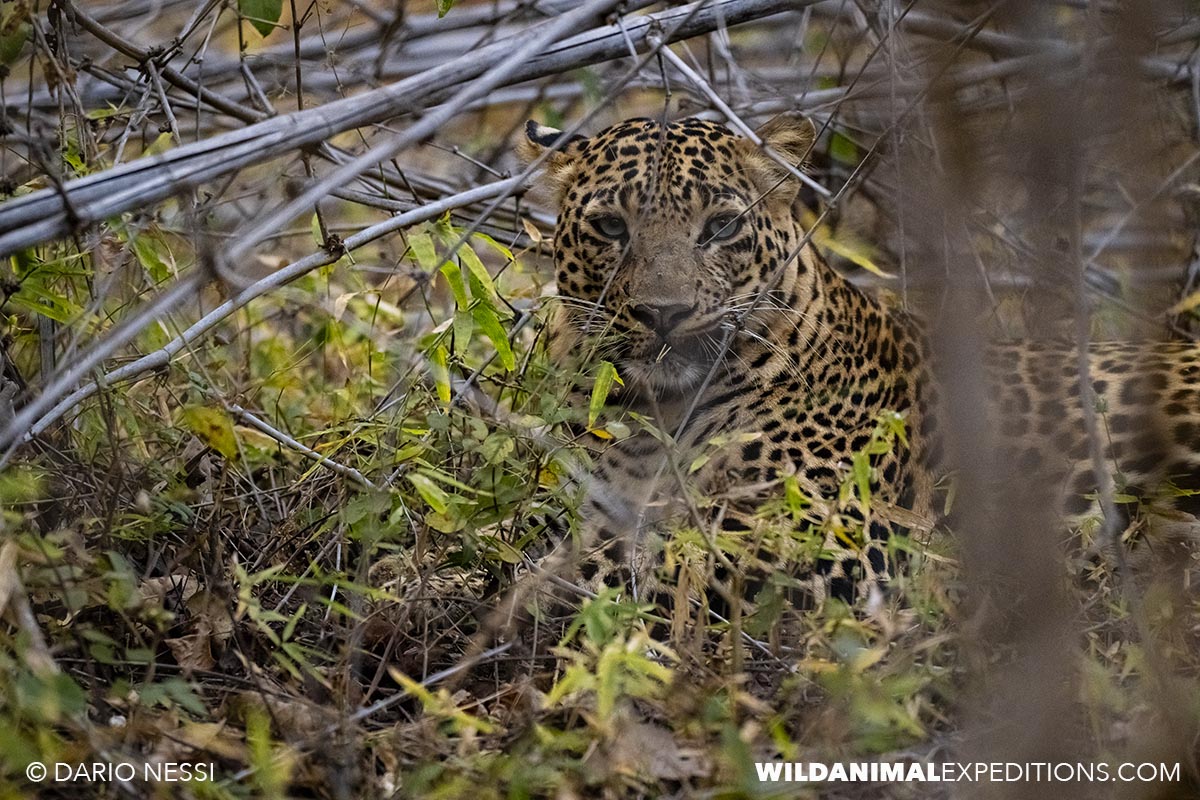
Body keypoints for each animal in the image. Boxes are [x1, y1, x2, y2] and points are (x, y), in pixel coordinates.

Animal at [518, 113, 1200, 608]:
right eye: (611, 227)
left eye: (720, 226)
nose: (664, 313)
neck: (656, 410)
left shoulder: (835, 535)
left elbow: (658, 559)